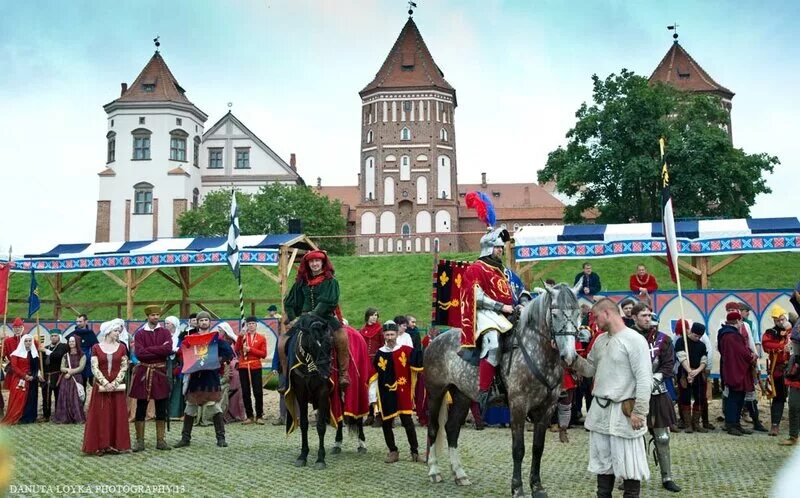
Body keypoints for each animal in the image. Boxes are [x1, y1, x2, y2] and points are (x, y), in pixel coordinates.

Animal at [424, 282, 580, 496]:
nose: (570, 356)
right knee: (433, 428)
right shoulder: (518, 406)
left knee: (452, 429)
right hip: (436, 393)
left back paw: (460, 474)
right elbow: (519, 449)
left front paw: (537, 487)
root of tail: (435, 340)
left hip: (462, 396)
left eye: (578, 314)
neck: (537, 350)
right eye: (555, 315)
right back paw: (433, 470)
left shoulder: (547, 408)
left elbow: (537, 448)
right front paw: (517, 488)